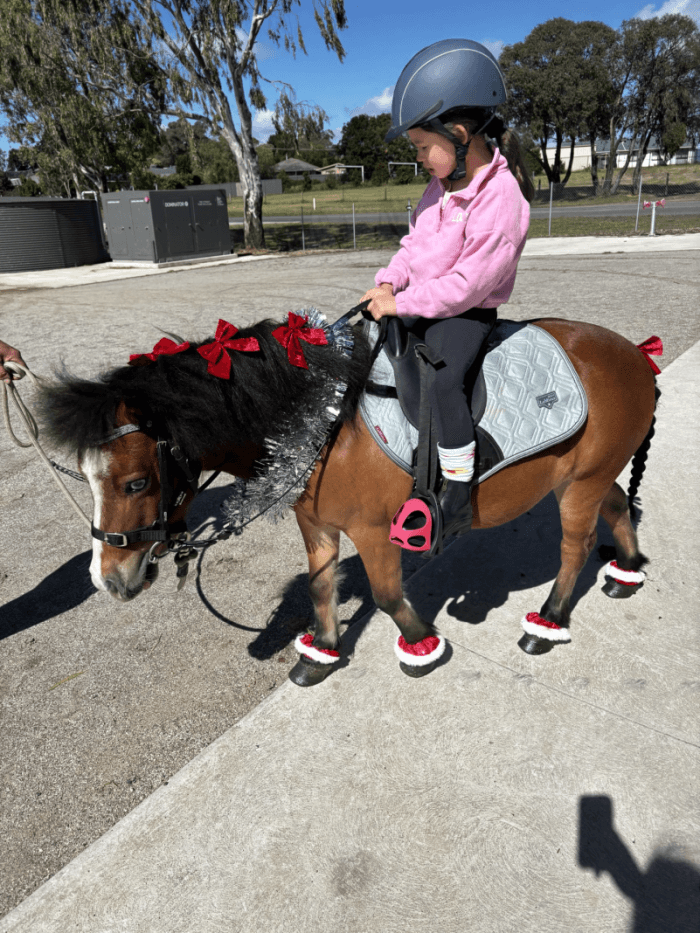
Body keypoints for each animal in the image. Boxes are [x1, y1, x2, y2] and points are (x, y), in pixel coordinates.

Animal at [37, 311, 658, 686]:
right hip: (586, 476)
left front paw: (422, 645)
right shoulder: (317, 524)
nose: (108, 579)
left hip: (581, 483)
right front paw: (324, 650)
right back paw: (627, 570)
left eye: (135, 483)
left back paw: (546, 622)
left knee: (575, 547)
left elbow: (384, 594)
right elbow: (321, 587)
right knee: (618, 508)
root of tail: (635, 352)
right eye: (85, 478)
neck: (322, 421)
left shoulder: (374, 529)